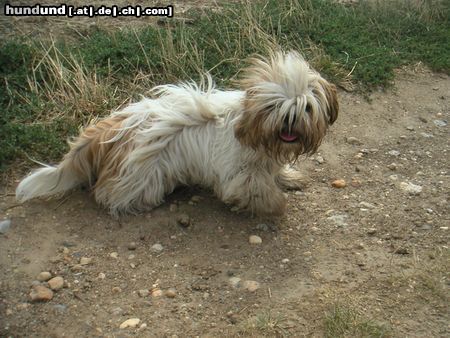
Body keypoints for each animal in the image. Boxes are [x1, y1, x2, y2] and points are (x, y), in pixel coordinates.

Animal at [15, 51, 338, 218]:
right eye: (273, 107)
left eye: (307, 108)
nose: (289, 124)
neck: (254, 131)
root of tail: (110, 129)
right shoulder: (240, 175)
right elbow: (258, 191)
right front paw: (276, 205)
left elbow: (276, 173)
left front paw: (288, 177)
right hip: (140, 176)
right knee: (108, 194)